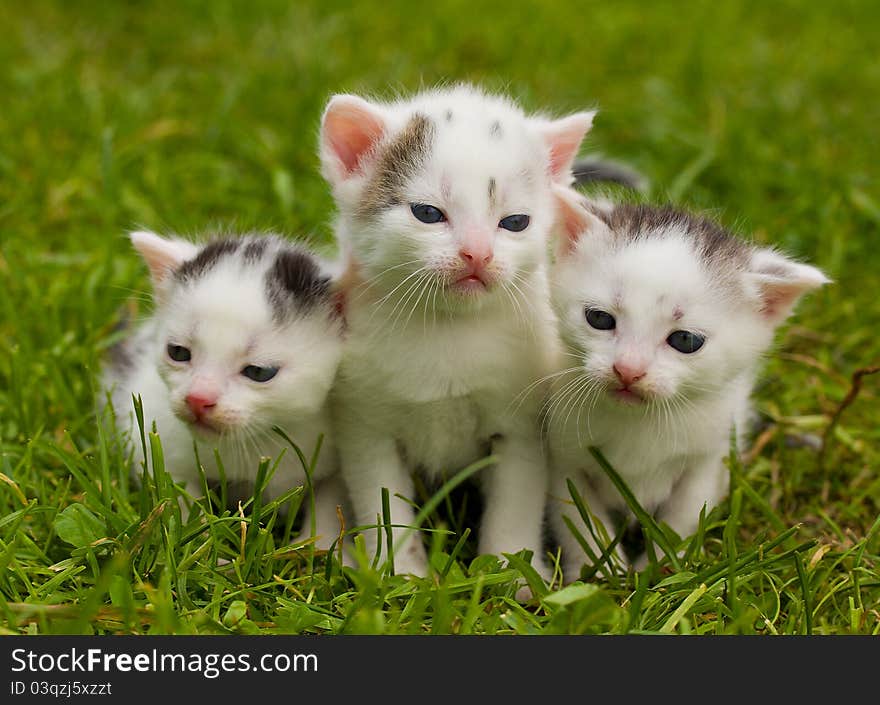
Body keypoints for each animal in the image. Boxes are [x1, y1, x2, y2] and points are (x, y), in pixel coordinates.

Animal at [103, 231, 348, 552]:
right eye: (178, 353)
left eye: (259, 372)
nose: (198, 399)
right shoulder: (155, 439)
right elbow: (177, 498)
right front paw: (204, 549)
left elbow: (333, 501)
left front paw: (317, 548)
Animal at [316, 84, 592, 584]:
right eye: (428, 213)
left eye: (515, 222)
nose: (477, 254)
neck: (448, 328)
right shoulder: (365, 423)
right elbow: (381, 499)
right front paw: (401, 574)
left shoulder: (521, 426)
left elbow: (515, 503)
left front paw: (512, 573)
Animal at [548, 187, 828, 576]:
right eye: (599, 319)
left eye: (684, 340)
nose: (628, 370)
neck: (638, 423)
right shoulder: (564, 457)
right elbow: (580, 518)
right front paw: (602, 574)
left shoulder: (709, 456)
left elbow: (683, 517)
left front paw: (663, 571)